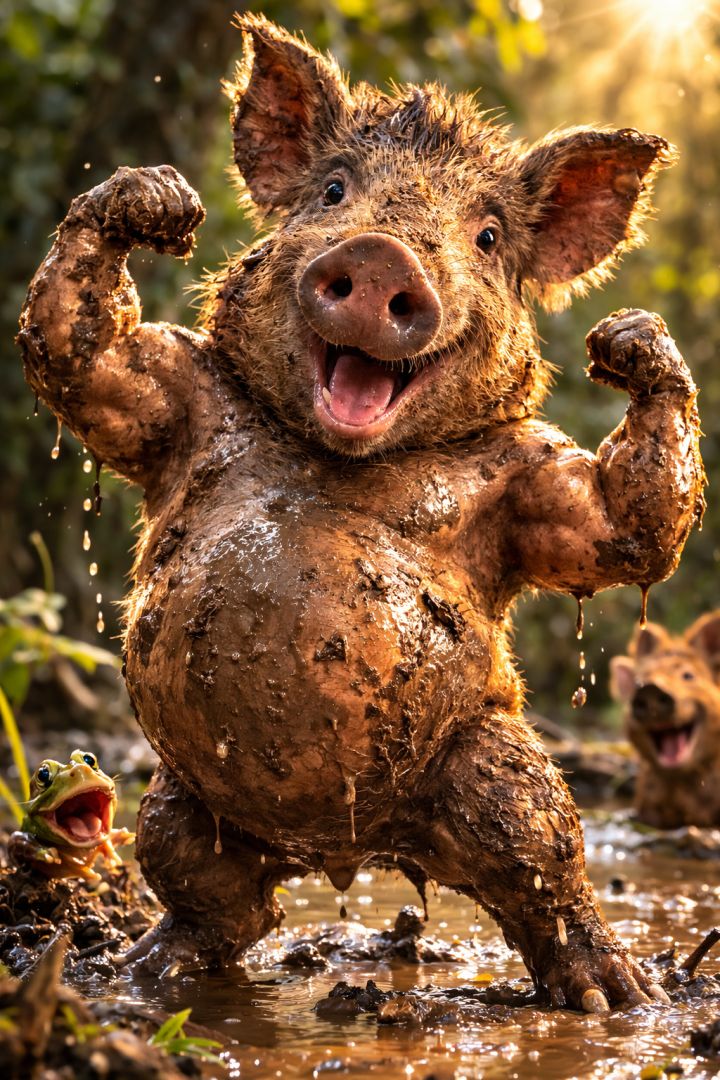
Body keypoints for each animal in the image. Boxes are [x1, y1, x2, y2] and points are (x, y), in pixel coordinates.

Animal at [17, 14, 704, 1012]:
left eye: (487, 237)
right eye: (335, 189)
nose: (380, 254)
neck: (343, 457)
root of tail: (345, 853)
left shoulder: (532, 478)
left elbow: (626, 530)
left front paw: (625, 340)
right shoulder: (168, 390)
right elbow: (80, 356)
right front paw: (161, 200)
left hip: (489, 764)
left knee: (542, 853)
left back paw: (615, 996)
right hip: (181, 800)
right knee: (219, 900)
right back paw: (147, 970)